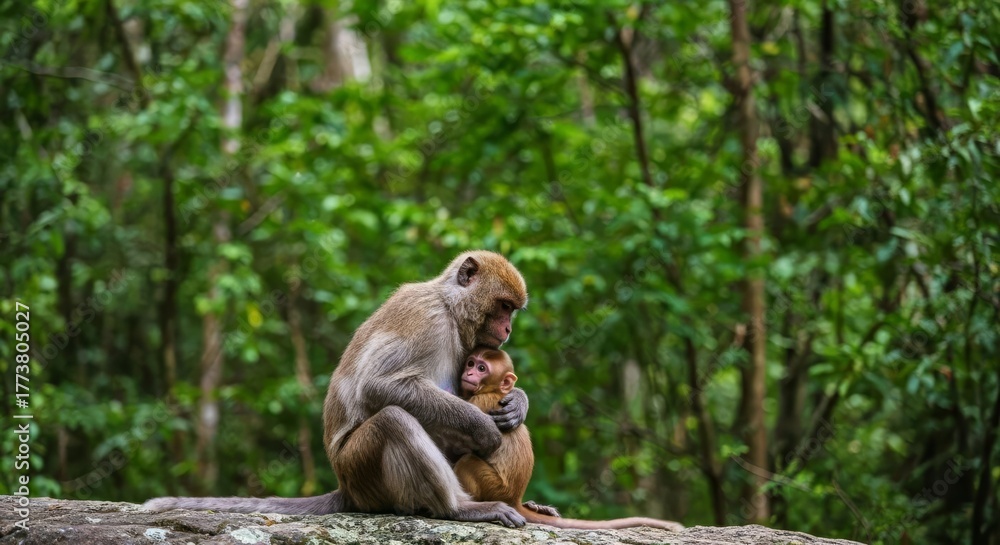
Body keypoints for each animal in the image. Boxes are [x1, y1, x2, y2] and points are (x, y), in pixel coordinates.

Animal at [146, 251, 550, 527]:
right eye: (503, 306)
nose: (507, 328)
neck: (450, 308)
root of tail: (346, 487)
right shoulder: (427, 319)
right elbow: (377, 385)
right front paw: (482, 428)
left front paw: (518, 402)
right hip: (360, 468)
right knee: (393, 421)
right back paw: (459, 508)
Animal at [453, 348, 684, 532]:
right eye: (471, 363)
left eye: (482, 368)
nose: (469, 372)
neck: (491, 390)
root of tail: (514, 499)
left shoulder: (478, 401)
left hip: (494, 487)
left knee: (466, 461)